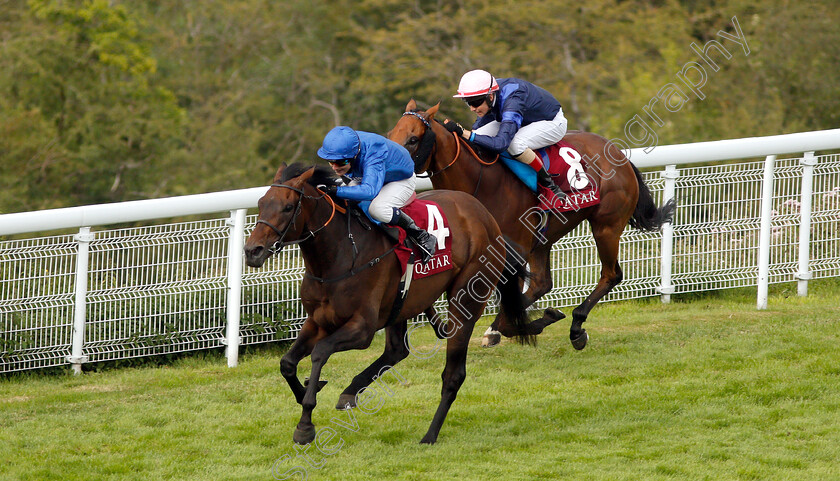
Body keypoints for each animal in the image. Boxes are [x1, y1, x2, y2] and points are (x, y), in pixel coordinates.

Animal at [244, 163, 532, 444]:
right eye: (261, 203)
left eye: (288, 207)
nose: (252, 251)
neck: (338, 256)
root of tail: (484, 215)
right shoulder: (317, 320)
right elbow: (287, 363)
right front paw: (305, 390)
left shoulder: (362, 328)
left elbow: (320, 352)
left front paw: (305, 424)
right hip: (401, 304)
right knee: (397, 350)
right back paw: (350, 392)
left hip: (468, 295)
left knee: (453, 374)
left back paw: (429, 435)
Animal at [388, 99, 676, 350]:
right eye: (391, 133)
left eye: (413, 139)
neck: (481, 183)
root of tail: (619, 153)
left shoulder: (511, 251)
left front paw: (529, 324)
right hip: (544, 238)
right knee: (542, 283)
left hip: (606, 225)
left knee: (610, 274)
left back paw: (576, 326)